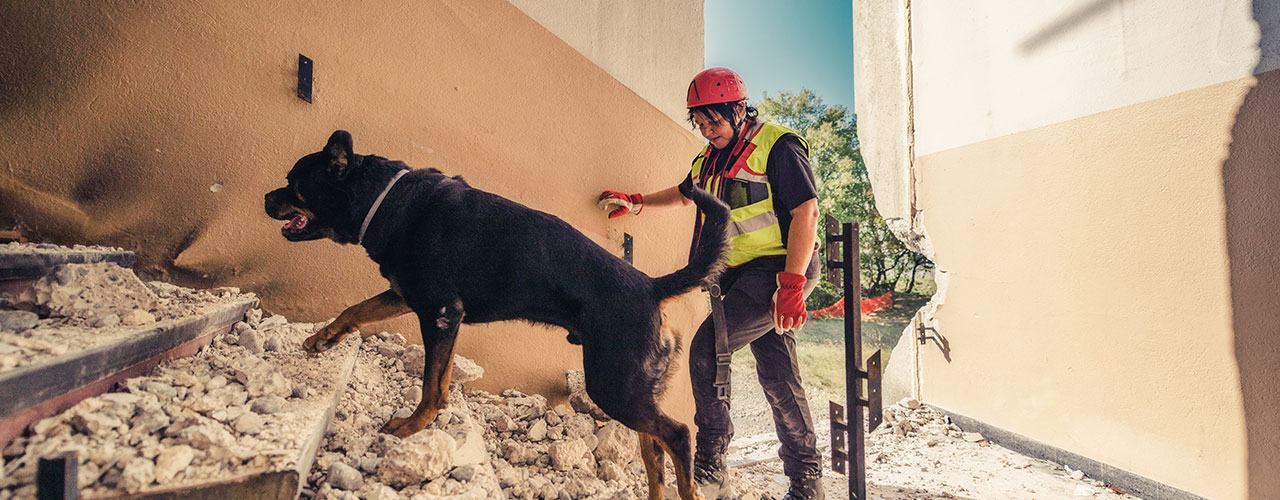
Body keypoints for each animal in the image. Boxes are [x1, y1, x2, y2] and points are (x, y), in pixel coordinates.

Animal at [267, 131, 732, 498]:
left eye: (294, 183)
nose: (266, 197)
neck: (387, 199)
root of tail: (652, 286)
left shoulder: (439, 312)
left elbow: (431, 389)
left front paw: (409, 430)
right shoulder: (411, 297)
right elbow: (359, 309)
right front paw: (323, 338)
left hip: (613, 386)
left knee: (677, 435)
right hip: (631, 388)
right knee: (653, 451)